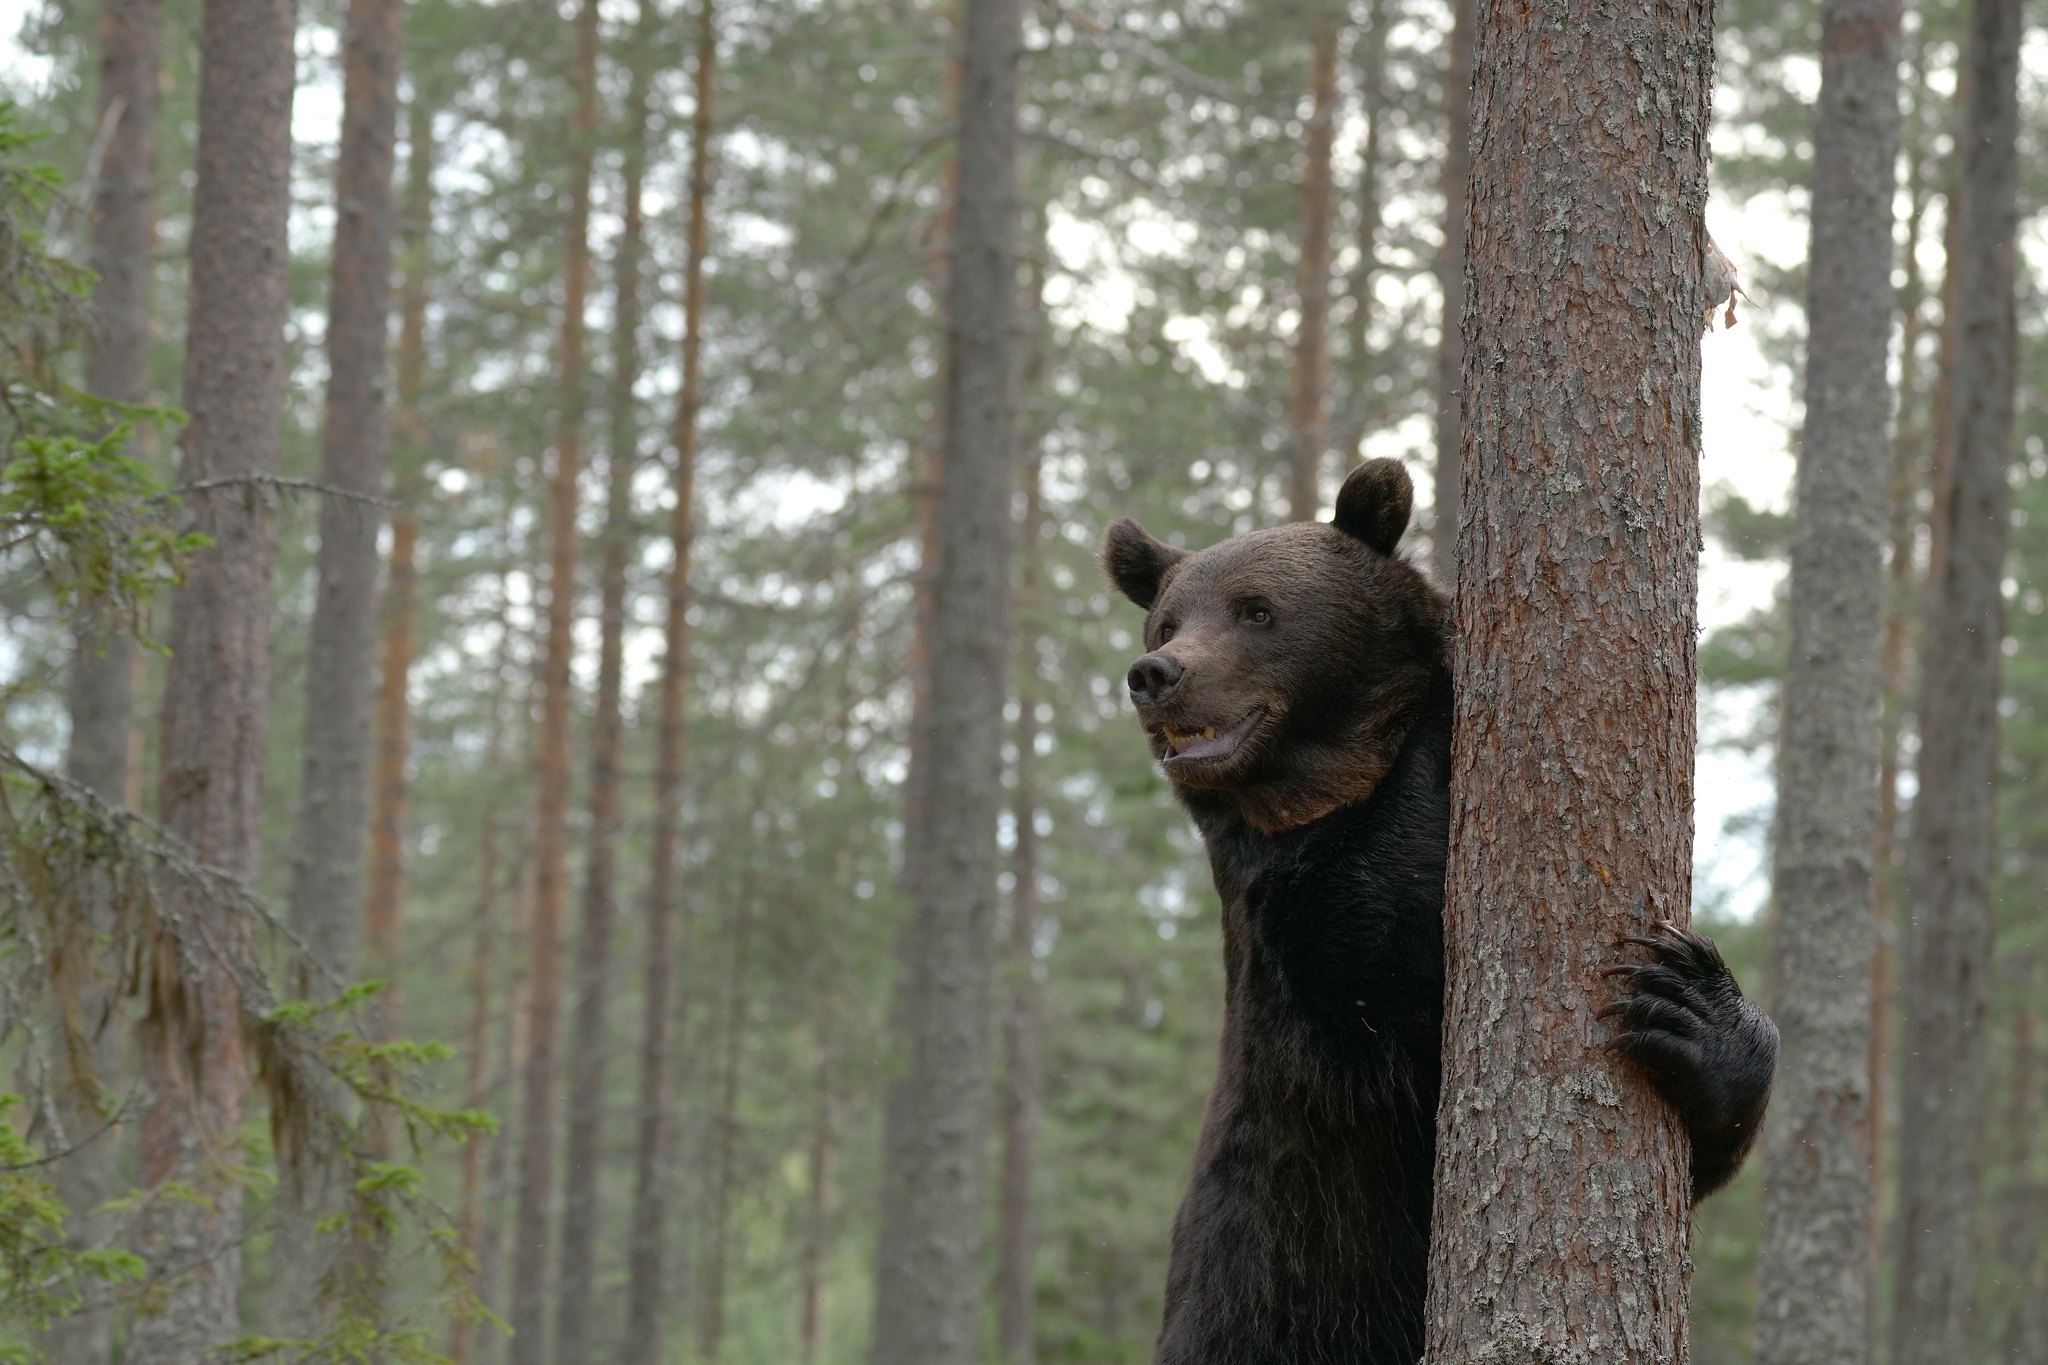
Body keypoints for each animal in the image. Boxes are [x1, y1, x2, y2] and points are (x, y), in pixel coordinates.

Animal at [1105, 458, 1777, 1365]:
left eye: (1256, 608)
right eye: (1168, 619)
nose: (1158, 673)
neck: (1313, 796)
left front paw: (1689, 1003)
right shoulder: (1325, 954)